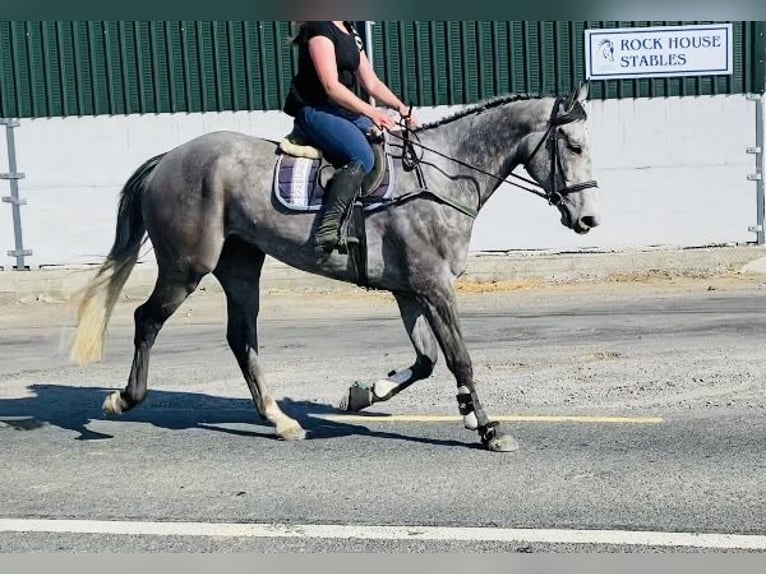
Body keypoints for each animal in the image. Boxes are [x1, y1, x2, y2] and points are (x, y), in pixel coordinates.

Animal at [70, 83, 600, 452]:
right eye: (573, 146)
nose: (588, 219)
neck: (442, 176)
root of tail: (168, 159)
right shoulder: (434, 287)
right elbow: (458, 358)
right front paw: (488, 428)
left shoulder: (410, 290)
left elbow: (426, 360)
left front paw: (366, 392)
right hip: (186, 267)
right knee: (148, 318)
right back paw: (123, 400)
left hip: (240, 266)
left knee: (241, 336)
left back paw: (279, 419)